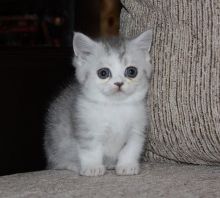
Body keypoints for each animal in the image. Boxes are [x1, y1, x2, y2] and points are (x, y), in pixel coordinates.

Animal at [43, 30, 152, 176]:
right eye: (103, 73)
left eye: (131, 71)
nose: (119, 83)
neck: (115, 107)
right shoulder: (86, 127)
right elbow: (91, 150)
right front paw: (92, 167)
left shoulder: (137, 129)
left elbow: (131, 148)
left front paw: (127, 165)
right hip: (57, 145)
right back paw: (73, 165)